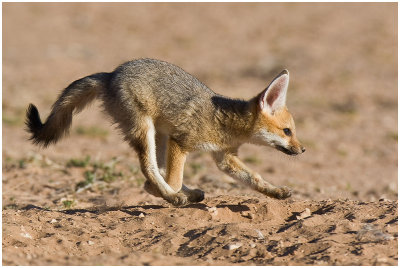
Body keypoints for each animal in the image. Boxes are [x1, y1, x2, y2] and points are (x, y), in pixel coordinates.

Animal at [25, 58, 304, 205]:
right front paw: (165, 192)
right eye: (287, 131)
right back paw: (171, 195)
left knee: (157, 168)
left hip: (158, 135)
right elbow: (174, 177)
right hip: (146, 131)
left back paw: (186, 193)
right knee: (150, 168)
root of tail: (111, 73)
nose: (302, 149)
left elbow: (254, 177)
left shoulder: (224, 157)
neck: (224, 121)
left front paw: (275, 191)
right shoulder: (181, 142)